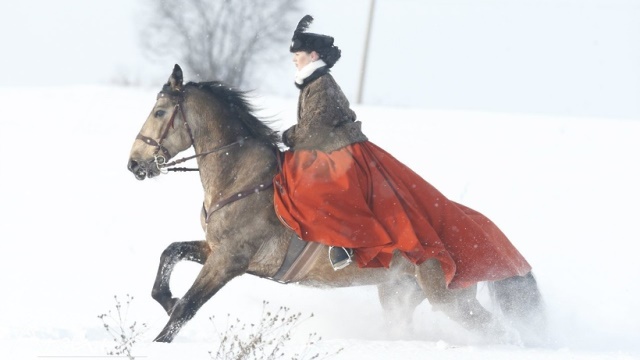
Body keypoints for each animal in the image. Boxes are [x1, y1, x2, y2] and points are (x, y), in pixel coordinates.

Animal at [126, 64, 544, 344]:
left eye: (160, 112)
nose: (134, 164)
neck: (243, 179)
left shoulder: (230, 261)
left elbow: (187, 307)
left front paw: (160, 338)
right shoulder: (215, 250)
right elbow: (170, 255)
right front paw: (165, 298)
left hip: (449, 300)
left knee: (499, 333)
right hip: (399, 294)